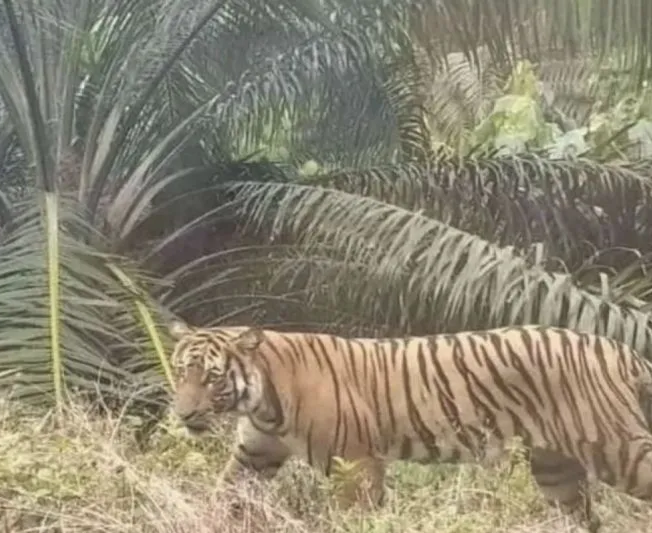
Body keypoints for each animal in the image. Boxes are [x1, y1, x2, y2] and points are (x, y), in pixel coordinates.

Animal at [169, 320, 652, 532]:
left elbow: (354, 517)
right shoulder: (255, 454)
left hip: (617, 448)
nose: (183, 414)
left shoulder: (356, 462)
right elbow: (225, 494)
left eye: (211, 377)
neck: (261, 401)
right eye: (180, 371)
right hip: (556, 469)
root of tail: (621, 349)